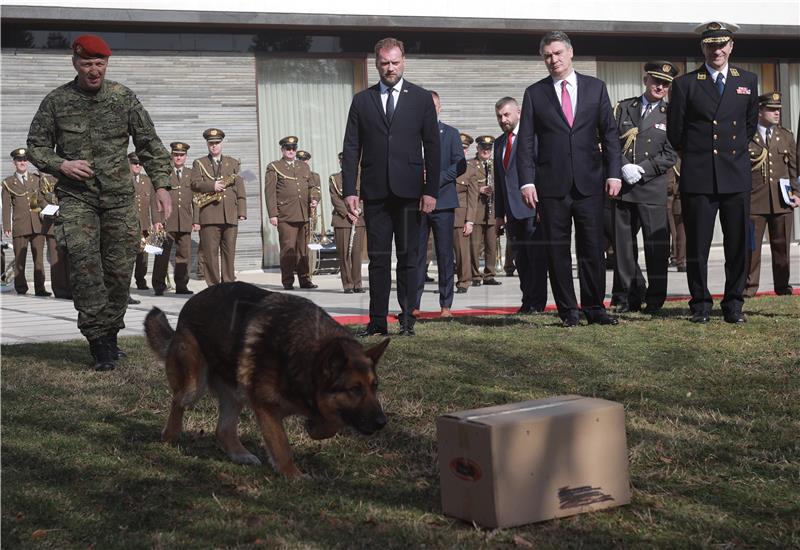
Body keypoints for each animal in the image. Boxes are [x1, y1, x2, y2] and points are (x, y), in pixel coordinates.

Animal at [148, 282, 394, 480]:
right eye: (354, 389)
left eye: (375, 387)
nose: (382, 422)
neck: (306, 356)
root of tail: (189, 304)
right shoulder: (266, 407)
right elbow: (282, 446)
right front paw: (293, 475)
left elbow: (330, 422)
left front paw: (315, 427)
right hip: (195, 385)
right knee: (179, 400)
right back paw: (170, 435)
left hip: (235, 391)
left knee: (223, 430)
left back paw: (241, 455)